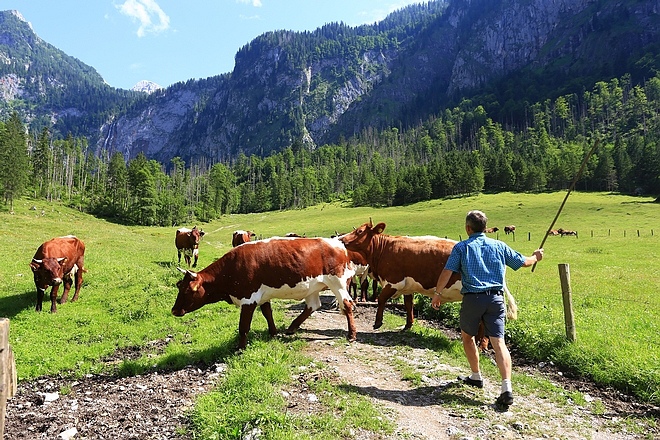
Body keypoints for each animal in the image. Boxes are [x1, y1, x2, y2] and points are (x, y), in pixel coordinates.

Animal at [170, 237, 356, 350]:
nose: (174, 310)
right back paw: (292, 328)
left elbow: (243, 326)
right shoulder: (262, 296)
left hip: (337, 283)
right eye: (179, 286)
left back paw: (352, 335)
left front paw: (240, 348)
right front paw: (273, 333)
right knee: (313, 306)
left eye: (188, 290)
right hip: (313, 286)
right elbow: (268, 313)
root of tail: (337, 243)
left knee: (347, 305)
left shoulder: (248, 299)